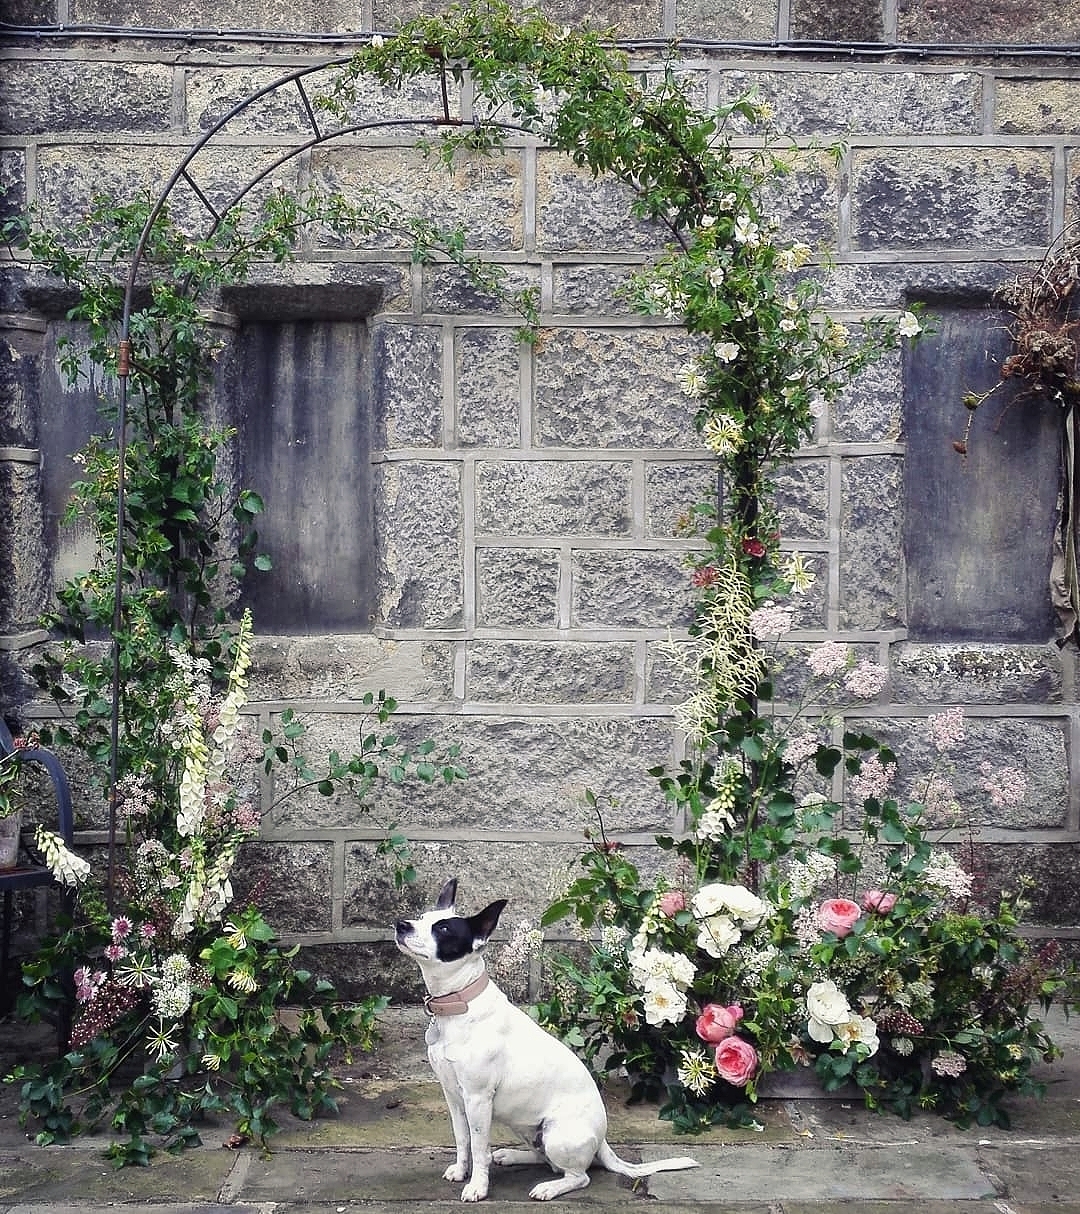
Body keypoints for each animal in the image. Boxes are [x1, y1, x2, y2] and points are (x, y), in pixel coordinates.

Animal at [390, 878, 694, 1199]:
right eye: (422, 918)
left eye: (444, 929)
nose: (402, 925)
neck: (459, 1004)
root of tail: (602, 1141)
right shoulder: (454, 1097)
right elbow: (462, 1140)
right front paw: (461, 1171)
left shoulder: (477, 1099)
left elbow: (478, 1146)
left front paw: (478, 1187)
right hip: (526, 1128)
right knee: (544, 1159)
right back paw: (511, 1156)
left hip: (556, 1134)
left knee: (578, 1176)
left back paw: (548, 1188)